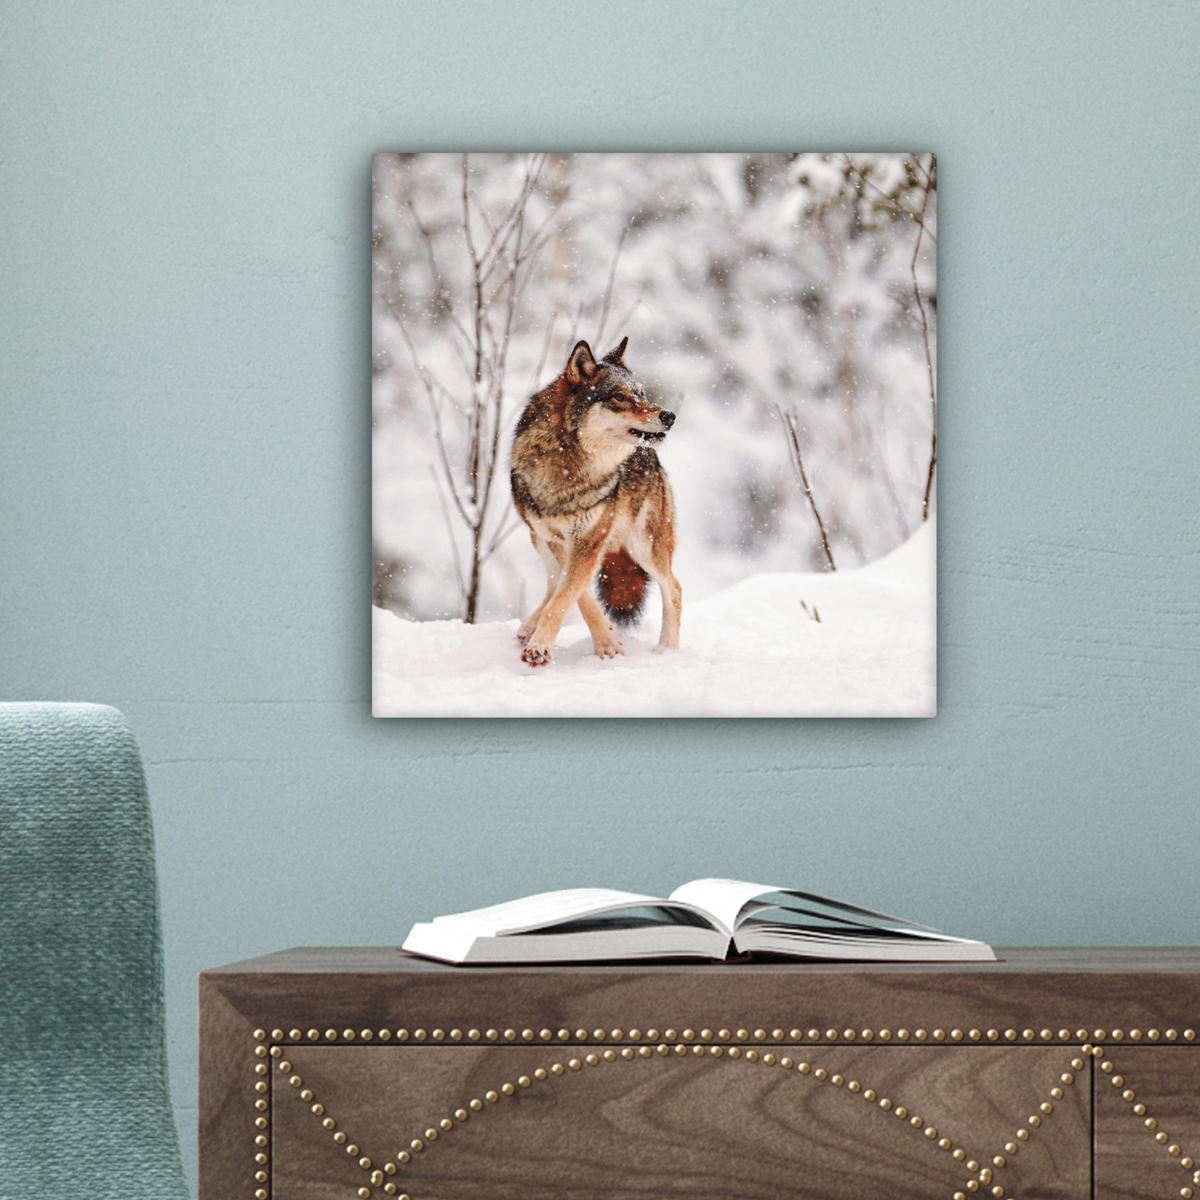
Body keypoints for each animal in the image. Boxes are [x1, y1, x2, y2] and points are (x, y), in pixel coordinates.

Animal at [509, 336, 681, 667]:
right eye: (620, 397)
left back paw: (667, 649)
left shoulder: (589, 540)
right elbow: (575, 595)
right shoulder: (559, 540)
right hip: (538, 539)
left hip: (644, 547)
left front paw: (543, 647)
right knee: (552, 583)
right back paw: (528, 628)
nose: (669, 415)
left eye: (642, 394)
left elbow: (568, 595)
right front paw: (606, 641)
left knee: (674, 588)